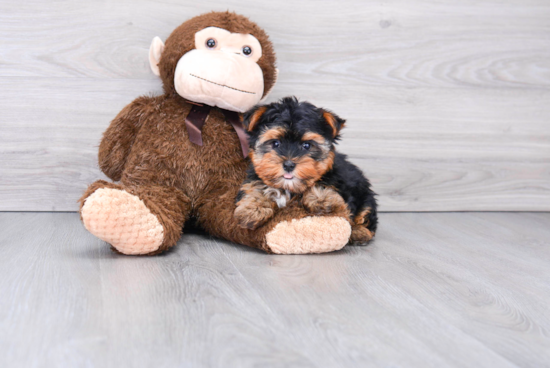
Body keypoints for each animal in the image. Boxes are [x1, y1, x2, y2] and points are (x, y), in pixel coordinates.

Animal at [235, 97, 378, 244]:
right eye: (275, 143)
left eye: (307, 145)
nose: (289, 165)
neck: (290, 188)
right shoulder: (256, 177)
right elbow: (258, 187)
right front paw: (252, 209)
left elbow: (322, 186)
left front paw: (322, 199)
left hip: (365, 194)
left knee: (366, 214)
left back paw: (359, 233)